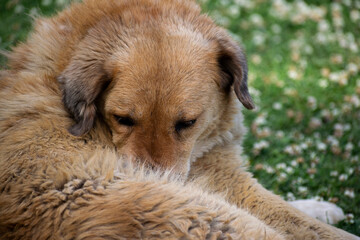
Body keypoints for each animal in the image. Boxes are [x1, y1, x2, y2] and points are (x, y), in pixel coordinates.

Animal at [0, 0, 358, 239]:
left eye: (187, 123)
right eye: (123, 119)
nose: (158, 177)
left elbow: (291, 209)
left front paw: (320, 206)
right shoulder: (223, 180)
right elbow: (299, 220)